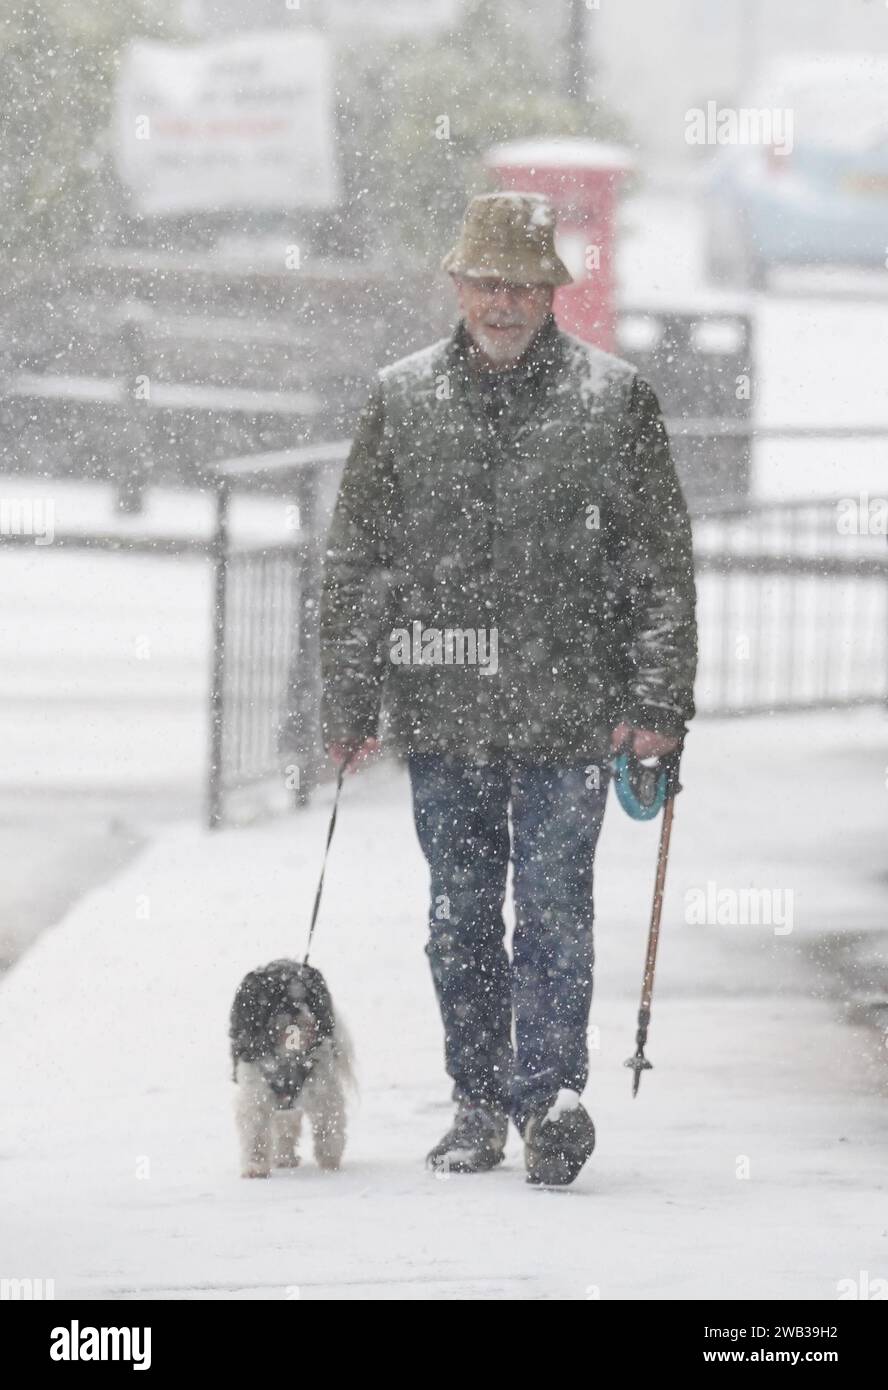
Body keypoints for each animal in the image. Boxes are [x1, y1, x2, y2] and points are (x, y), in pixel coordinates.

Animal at [229, 961, 354, 1178]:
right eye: (273, 996)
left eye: (307, 995)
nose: (293, 1008)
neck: (287, 1055)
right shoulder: (255, 1095)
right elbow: (255, 1133)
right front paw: (255, 1167)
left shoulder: (323, 1089)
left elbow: (328, 1126)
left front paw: (329, 1161)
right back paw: (284, 1158)